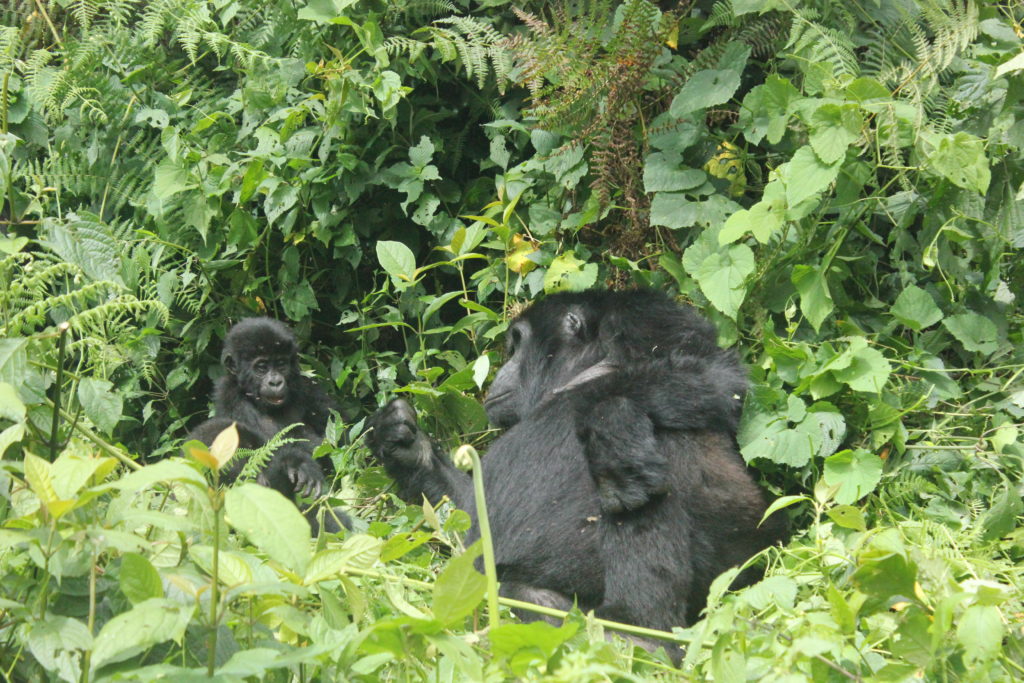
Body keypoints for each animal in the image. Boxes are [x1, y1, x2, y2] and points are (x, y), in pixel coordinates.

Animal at [190, 317, 350, 532]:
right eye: (262, 367)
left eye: (281, 364)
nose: (275, 382)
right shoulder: (230, 397)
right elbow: (259, 450)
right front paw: (297, 463)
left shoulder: (305, 384)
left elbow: (341, 436)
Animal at [372, 290, 786, 655]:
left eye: (517, 344)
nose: (500, 372)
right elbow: (469, 516)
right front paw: (408, 449)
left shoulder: (644, 314)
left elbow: (711, 371)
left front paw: (610, 425)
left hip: (741, 564)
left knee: (665, 443)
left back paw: (638, 629)